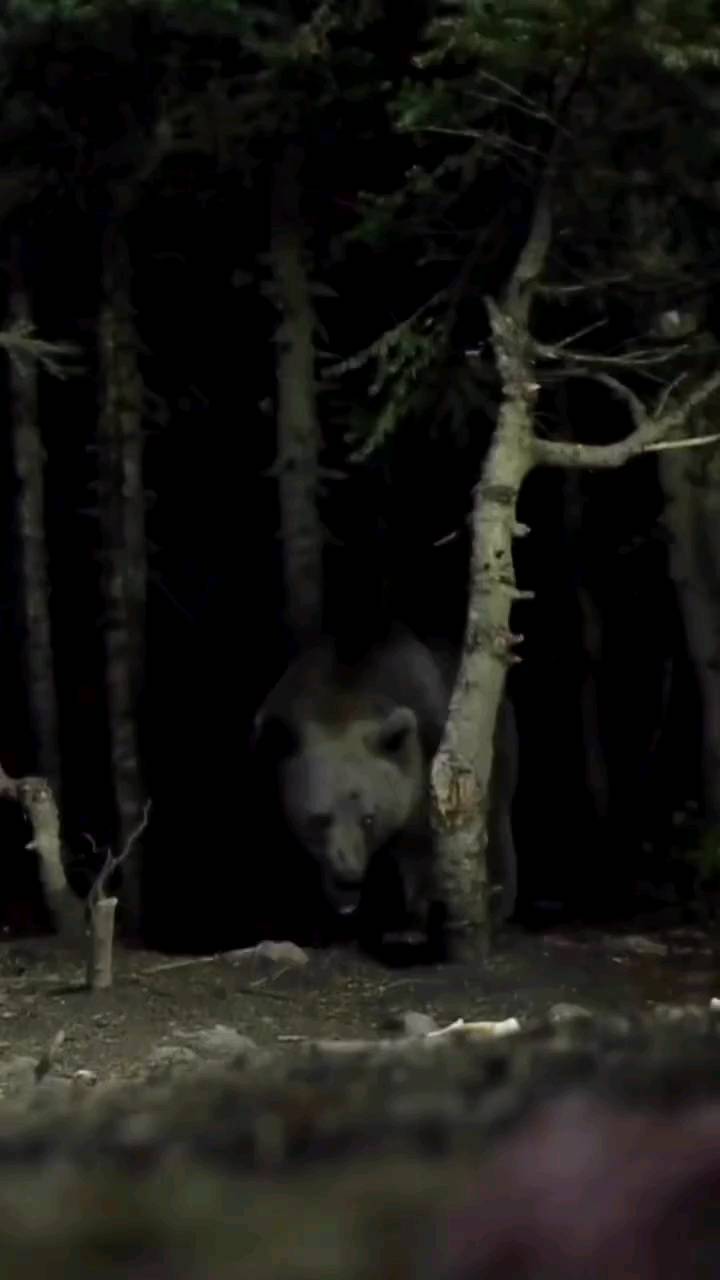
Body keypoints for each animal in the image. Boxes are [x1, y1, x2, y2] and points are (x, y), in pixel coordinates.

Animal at [251, 626, 518, 951]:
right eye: (319, 819)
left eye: (369, 818)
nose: (348, 874)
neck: (342, 702)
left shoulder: (423, 762)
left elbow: (422, 847)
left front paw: (411, 923)